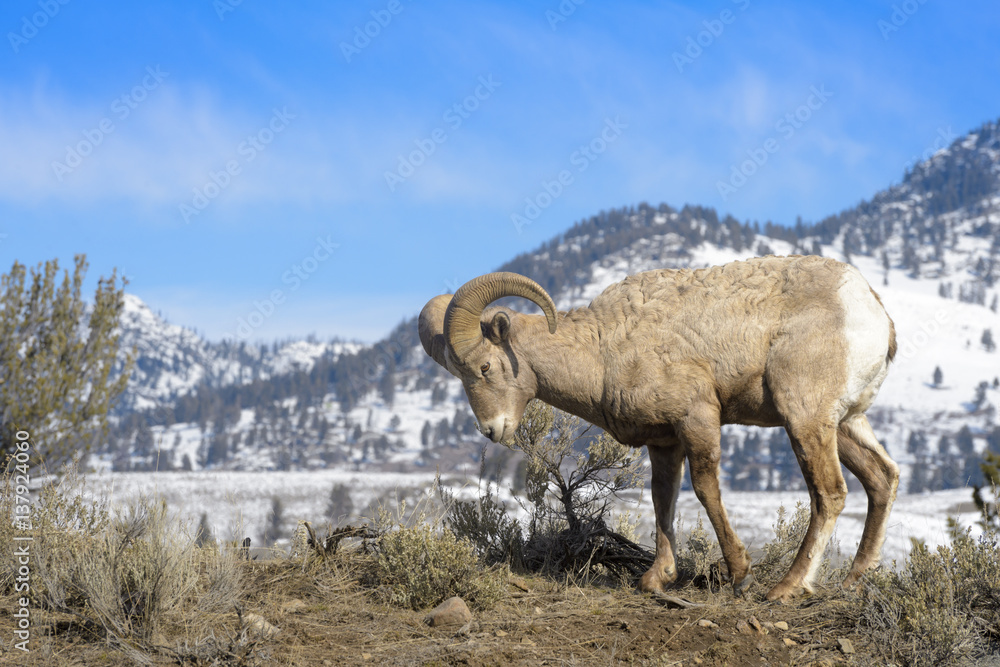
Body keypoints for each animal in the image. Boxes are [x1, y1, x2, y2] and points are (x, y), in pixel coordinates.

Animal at [418, 254, 899, 602]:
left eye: (484, 366)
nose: (491, 430)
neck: (603, 351)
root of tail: (872, 310)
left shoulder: (697, 419)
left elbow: (705, 489)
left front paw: (739, 574)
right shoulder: (664, 441)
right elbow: (662, 499)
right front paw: (657, 580)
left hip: (805, 419)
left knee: (830, 493)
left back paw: (786, 588)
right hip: (845, 424)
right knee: (882, 478)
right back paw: (854, 580)